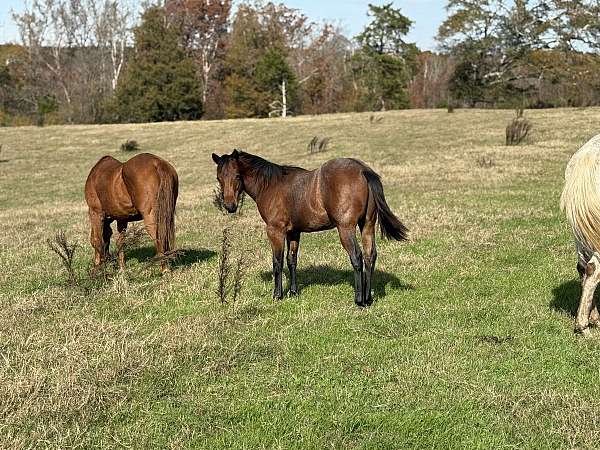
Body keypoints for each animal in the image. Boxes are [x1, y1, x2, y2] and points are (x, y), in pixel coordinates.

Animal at [211, 150, 408, 306]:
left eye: (237, 176)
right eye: (219, 178)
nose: (230, 206)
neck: (271, 185)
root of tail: (363, 170)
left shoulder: (275, 231)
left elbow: (277, 262)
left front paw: (277, 295)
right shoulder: (293, 232)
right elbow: (291, 261)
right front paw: (293, 292)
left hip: (346, 228)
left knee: (357, 257)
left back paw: (359, 300)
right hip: (367, 225)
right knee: (370, 256)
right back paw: (368, 298)